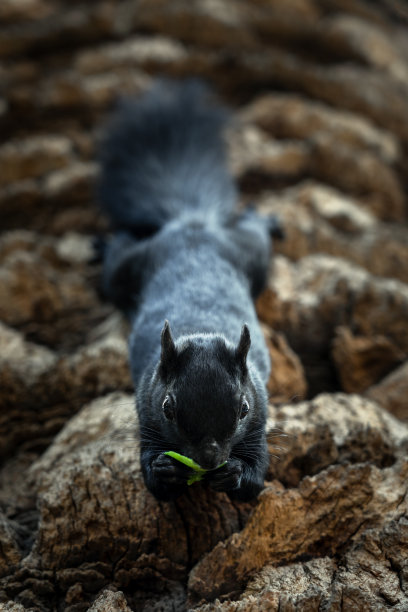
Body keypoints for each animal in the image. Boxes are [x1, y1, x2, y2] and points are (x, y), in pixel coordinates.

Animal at [97, 80, 278, 502]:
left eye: (243, 409)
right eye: (167, 407)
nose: (210, 459)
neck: (202, 330)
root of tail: (191, 222)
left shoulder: (262, 417)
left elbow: (256, 479)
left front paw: (235, 476)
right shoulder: (144, 413)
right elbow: (152, 476)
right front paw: (166, 472)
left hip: (253, 255)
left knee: (256, 235)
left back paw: (262, 218)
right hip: (129, 269)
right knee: (118, 261)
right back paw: (109, 243)